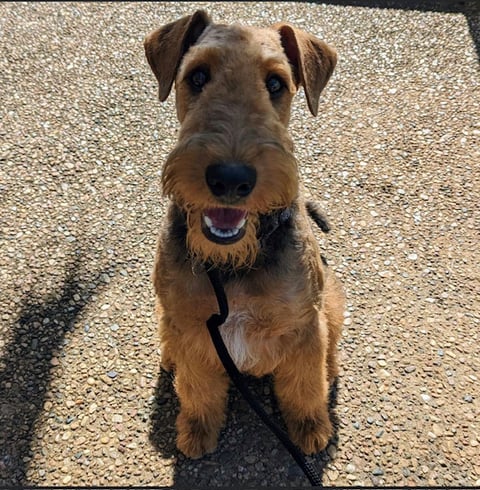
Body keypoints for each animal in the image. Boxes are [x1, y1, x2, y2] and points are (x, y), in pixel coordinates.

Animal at [143, 8, 344, 460]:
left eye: (276, 84)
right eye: (197, 76)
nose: (231, 179)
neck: (230, 264)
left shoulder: (303, 326)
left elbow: (304, 385)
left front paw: (311, 430)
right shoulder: (193, 328)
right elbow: (198, 388)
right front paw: (197, 432)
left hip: (331, 301)